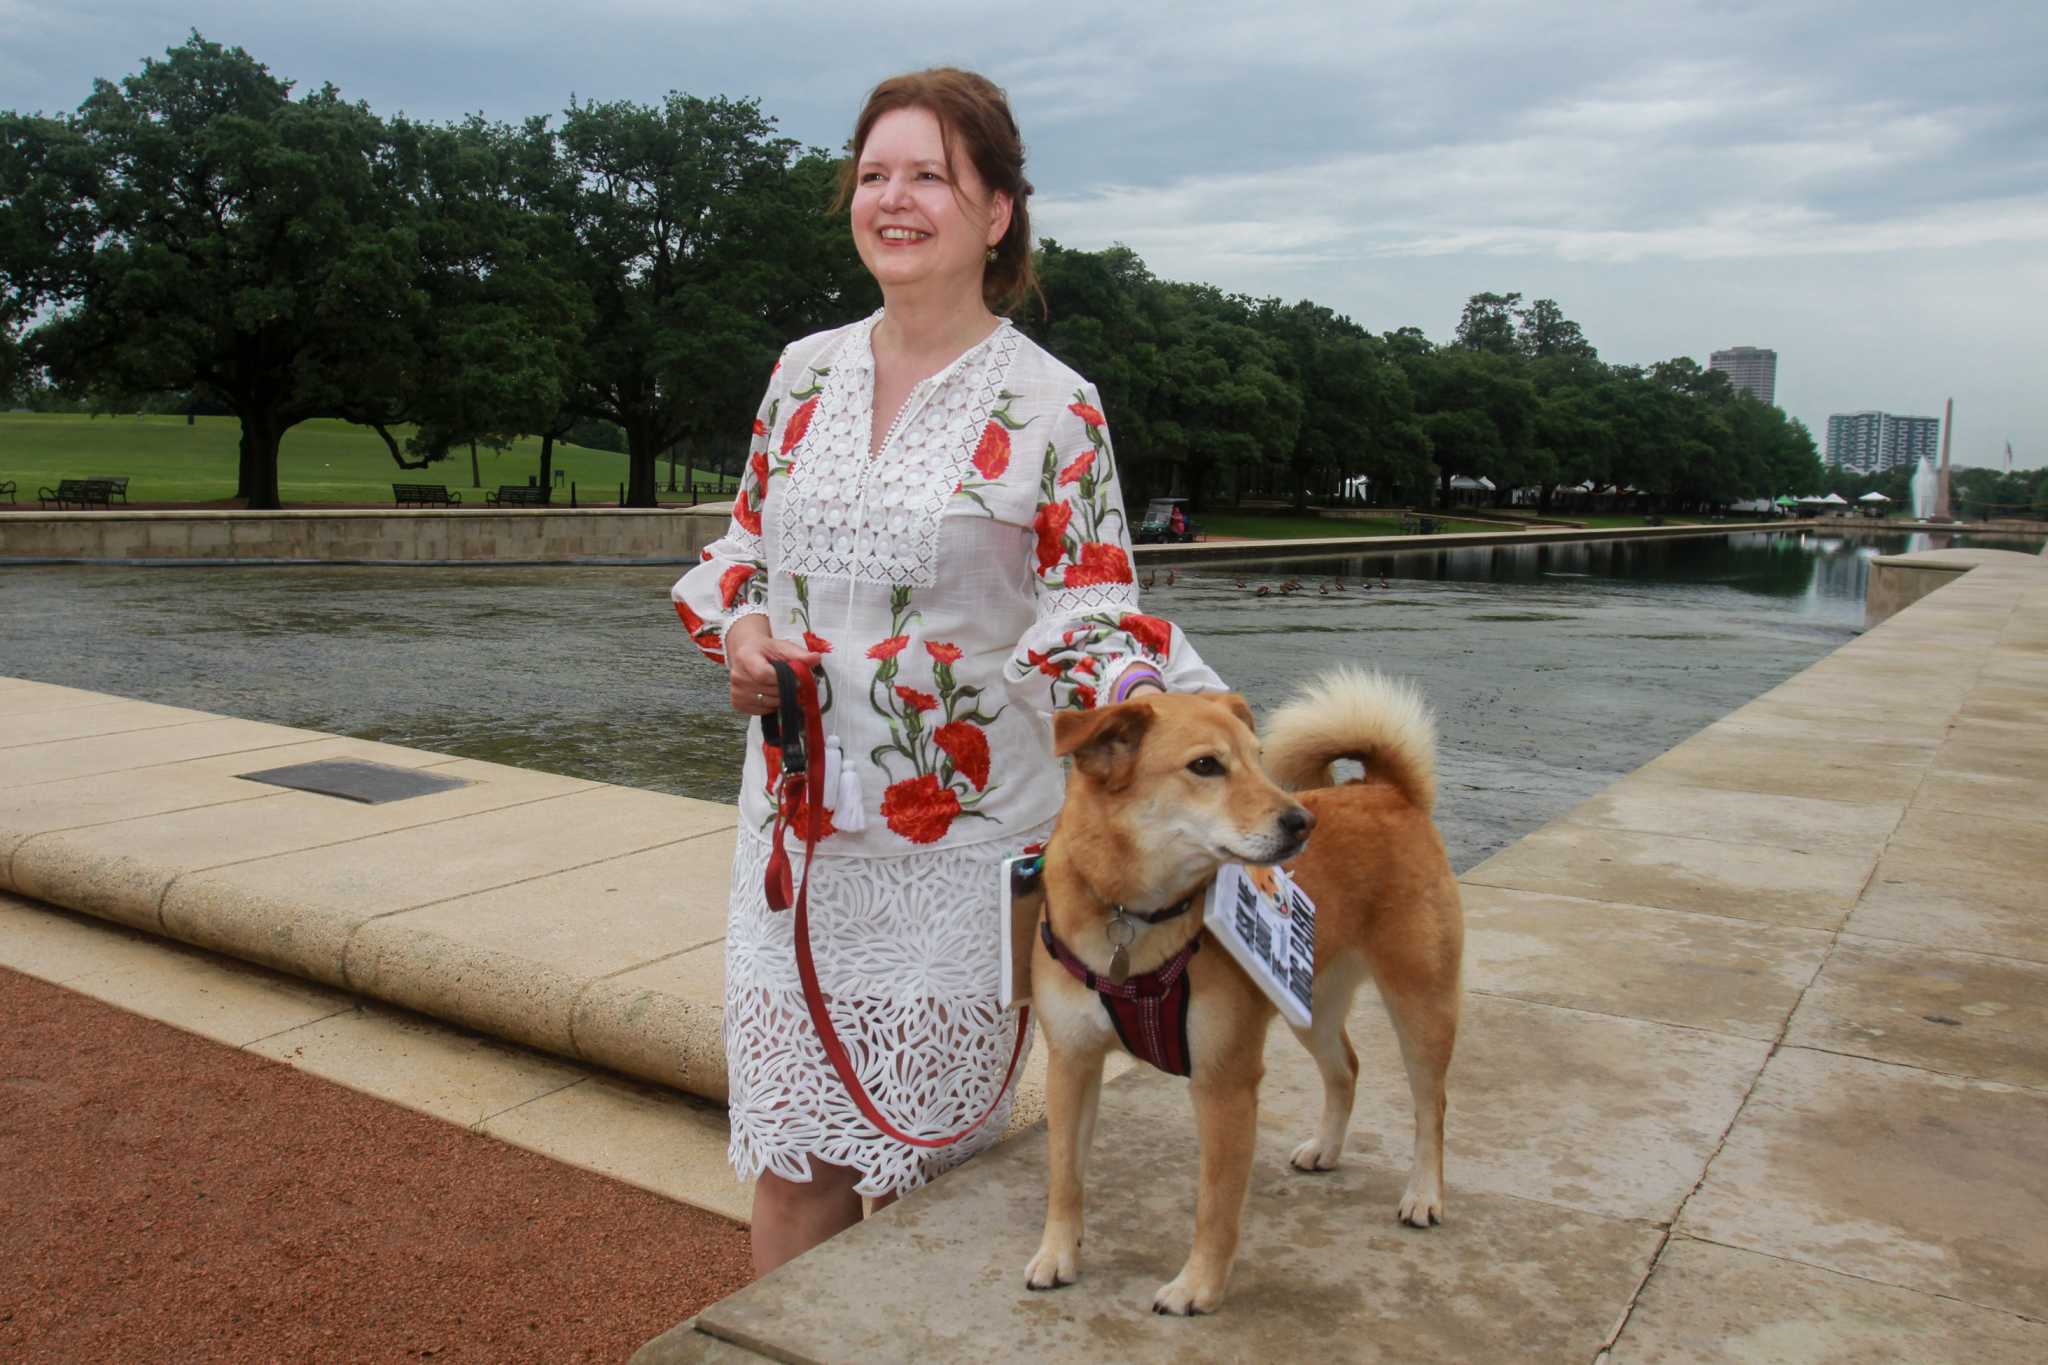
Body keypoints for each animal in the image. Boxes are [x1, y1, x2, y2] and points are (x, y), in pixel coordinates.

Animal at [1032, 671, 1466, 1309]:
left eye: (1260, 761)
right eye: (1206, 766)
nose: (1302, 822)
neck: (1137, 916)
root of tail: (1388, 790)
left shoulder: (1224, 1081)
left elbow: (1216, 1203)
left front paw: (1198, 1287)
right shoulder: (1072, 1062)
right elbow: (1064, 1175)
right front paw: (1058, 1255)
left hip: (1421, 1001)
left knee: (1430, 1105)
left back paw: (1424, 1194)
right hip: (1309, 1005)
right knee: (1346, 1068)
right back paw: (1326, 1149)